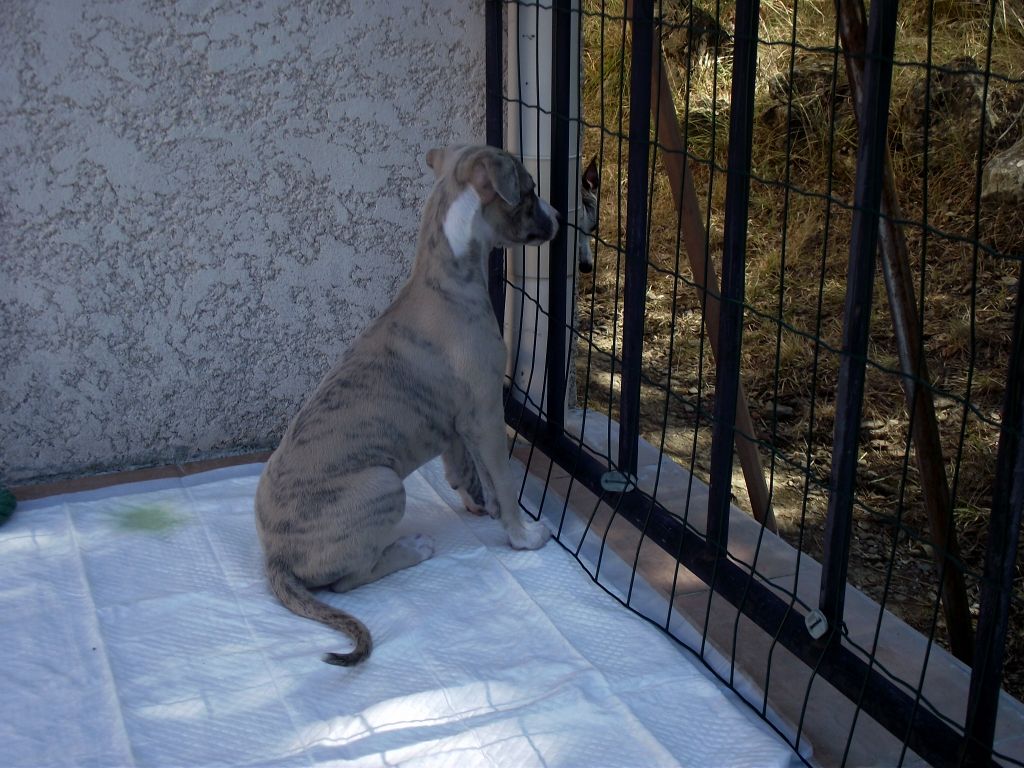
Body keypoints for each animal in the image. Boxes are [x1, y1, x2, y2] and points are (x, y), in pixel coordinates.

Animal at [255, 145, 558, 666]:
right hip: (383, 484)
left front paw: (479, 503)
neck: (446, 274)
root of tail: (276, 555)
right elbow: (502, 477)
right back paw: (413, 549)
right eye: (530, 191)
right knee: (349, 581)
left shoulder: (460, 420)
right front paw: (523, 536)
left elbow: (468, 468)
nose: (559, 218)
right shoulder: (486, 411)